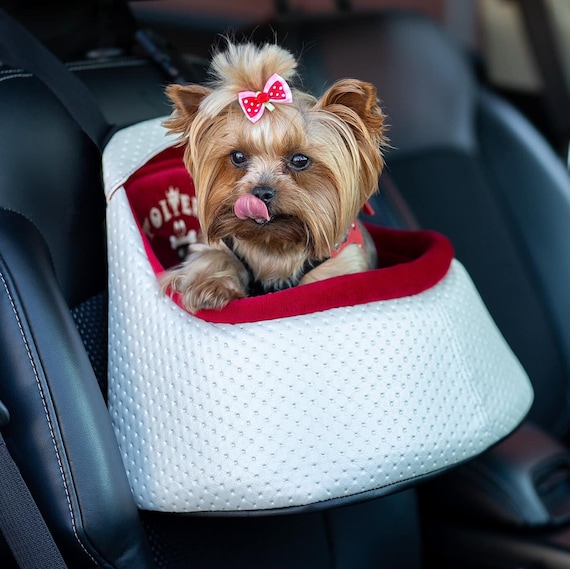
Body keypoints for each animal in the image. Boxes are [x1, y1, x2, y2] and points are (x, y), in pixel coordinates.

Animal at [159, 42, 386, 312]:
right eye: (237, 156)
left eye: (299, 160)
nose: (260, 192)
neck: (273, 243)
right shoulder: (215, 245)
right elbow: (212, 256)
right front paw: (210, 286)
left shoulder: (343, 264)